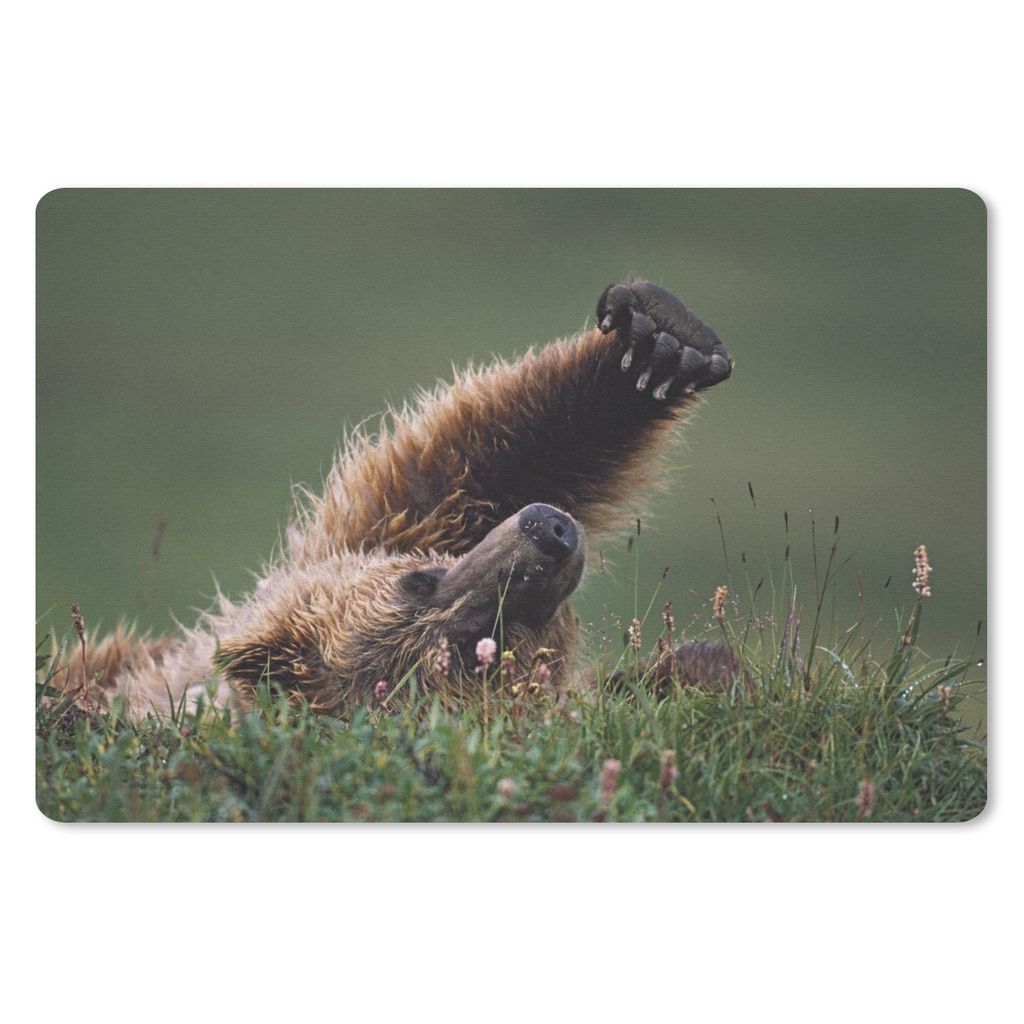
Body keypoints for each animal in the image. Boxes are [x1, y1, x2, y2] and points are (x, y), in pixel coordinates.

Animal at [54, 280, 734, 719]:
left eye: (418, 581)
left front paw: (660, 339)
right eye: (477, 649)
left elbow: (468, 459)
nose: (549, 529)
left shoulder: (370, 534)